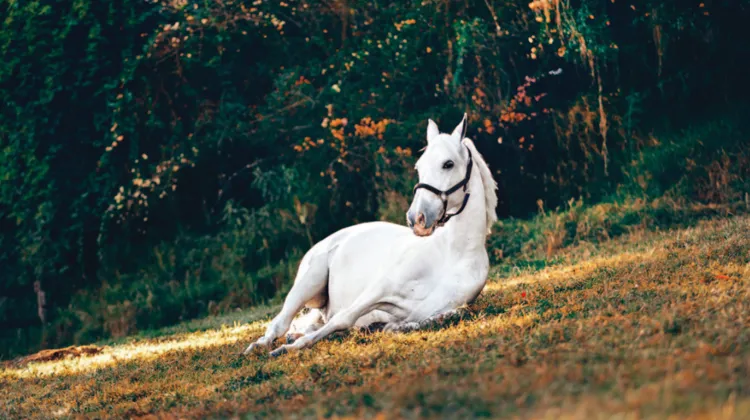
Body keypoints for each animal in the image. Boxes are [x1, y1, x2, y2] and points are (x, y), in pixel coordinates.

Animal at [243, 114, 498, 357]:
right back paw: (260, 346)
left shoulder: (429, 311)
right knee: (280, 323)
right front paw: (288, 350)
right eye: (419, 167)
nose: (416, 218)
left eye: (448, 164)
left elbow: (436, 318)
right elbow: (343, 318)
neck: (452, 254)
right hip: (307, 283)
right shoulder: (379, 289)